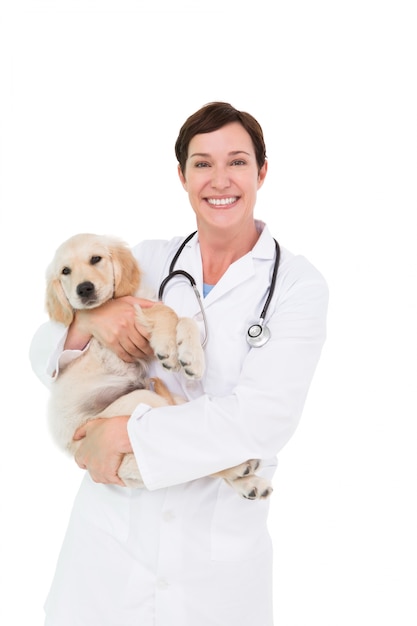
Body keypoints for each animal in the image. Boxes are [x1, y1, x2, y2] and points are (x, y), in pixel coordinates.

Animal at [45, 232, 272, 500]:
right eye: (65, 271)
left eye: (95, 259)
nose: (84, 289)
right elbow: (168, 311)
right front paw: (169, 347)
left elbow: (181, 317)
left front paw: (191, 356)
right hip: (140, 403)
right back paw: (241, 469)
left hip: (174, 404)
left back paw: (250, 482)